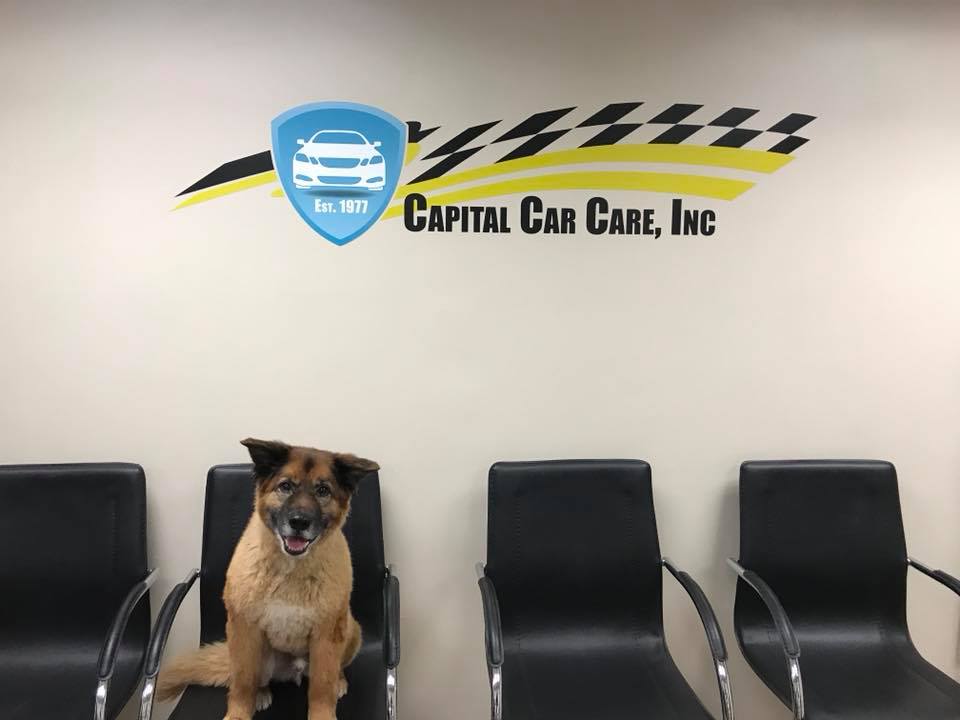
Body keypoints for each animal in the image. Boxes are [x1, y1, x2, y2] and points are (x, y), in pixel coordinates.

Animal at [157, 438, 379, 720]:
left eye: (323, 490)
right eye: (285, 486)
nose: (299, 522)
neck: (291, 569)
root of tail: (294, 670)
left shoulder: (326, 637)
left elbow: (322, 688)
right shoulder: (244, 630)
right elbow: (242, 682)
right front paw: (239, 713)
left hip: (350, 631)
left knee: (333, 671)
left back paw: (339, 680)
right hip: (259, 654)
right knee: (255, 679)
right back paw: (260, 694)